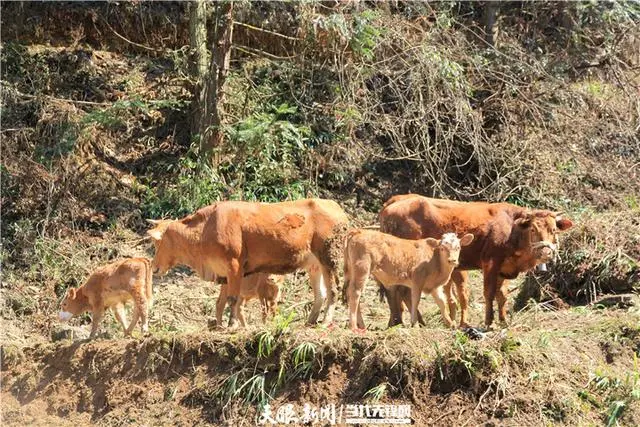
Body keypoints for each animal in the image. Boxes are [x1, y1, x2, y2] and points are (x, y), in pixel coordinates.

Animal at [147, 200, 348, 328]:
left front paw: (232, 324)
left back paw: (325, 321)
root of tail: (338, 209)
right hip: (315, 265)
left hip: (329, 258)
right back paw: (310, 321)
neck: (206, 229)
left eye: (157, 243)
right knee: (320, 293)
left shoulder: (234, 266)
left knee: (333, 290)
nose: (154, 267)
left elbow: (233, 299)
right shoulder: (225, 274)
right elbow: (226, 302)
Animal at [344, 231, 476, 332]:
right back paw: (354, 326)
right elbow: (415, 301)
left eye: (458, 247)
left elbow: (442, 302)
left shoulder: (434, 286)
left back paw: (361, 325)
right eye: (442, 248)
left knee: (351, 294)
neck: (434, 259)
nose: (452, 260)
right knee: (355, 293)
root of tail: (358, 231)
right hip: (362, 269)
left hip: (352, 272)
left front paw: (450, 323)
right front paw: (415, 323)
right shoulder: (417, 281)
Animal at [378, 196, 572, 330]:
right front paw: (489, 322)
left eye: (553, 230)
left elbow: (502, 295)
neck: (512, 230)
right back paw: (407, 321)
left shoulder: (504, 268)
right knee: (400, 291)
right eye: (533, 229)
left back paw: (400, 321)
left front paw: (503, 321)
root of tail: (391, 205)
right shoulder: (491, 263)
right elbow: (489, 293)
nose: (546, 253)